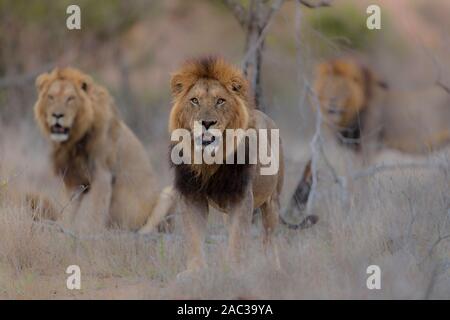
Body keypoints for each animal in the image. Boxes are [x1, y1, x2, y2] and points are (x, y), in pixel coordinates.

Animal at [31, 67, 175, 232]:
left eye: (70, 98)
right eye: (51, 97)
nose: (57, 115)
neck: (73, 140)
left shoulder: (102, 175)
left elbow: (96, 211)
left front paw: (91, 232)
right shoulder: (73, 179)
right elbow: (67, 210)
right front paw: (63, 229)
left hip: (167, 194)